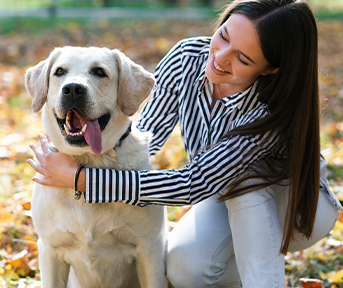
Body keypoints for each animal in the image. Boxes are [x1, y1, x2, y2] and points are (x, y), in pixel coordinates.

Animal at [25, 47, 168, 288]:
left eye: (100, 72)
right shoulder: (50, 249)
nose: (73, 89)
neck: (90, 163)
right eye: (59, 72)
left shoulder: (150, 248)